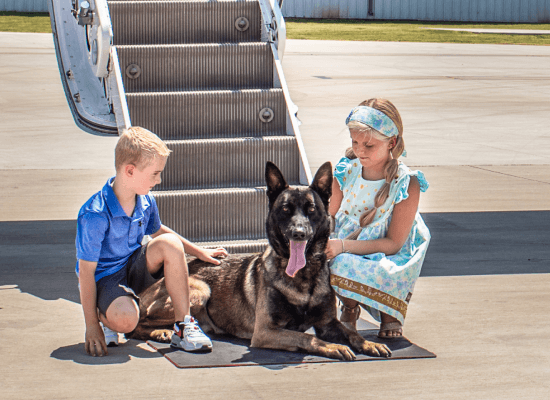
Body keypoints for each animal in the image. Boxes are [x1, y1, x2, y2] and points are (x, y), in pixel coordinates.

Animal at [127, 162, 390, 360]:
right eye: (285, 209)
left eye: (311, 209)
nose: (298, 233)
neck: (304, 278)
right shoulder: (265, 331)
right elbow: (307, 336)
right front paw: (335, 347)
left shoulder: (328, 323)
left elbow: (352, 333)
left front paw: (368, 343)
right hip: (201, 290)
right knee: (138, 323)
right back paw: (161, 332)